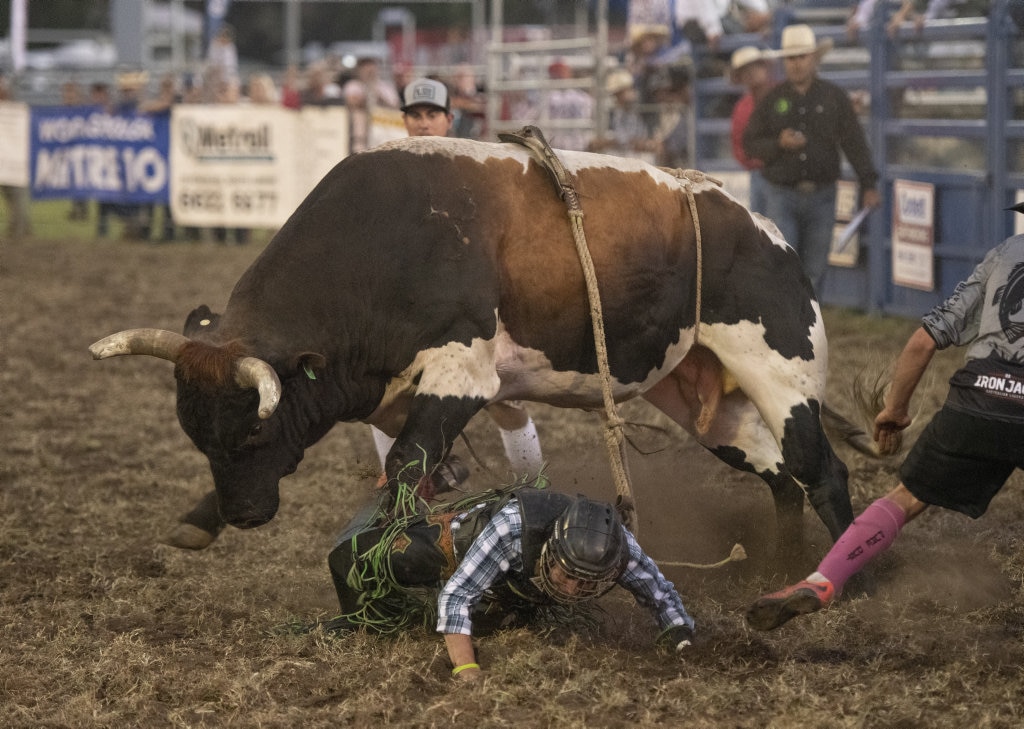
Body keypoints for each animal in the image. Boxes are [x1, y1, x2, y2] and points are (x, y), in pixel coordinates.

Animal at [88, 135, 856, 556]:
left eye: (251, 434)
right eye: (200, 438)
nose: (246, 515)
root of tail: (770, 234)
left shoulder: (460, 376)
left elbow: (404, 465)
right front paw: (198, 519)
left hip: (782, 376)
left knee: (821, 472)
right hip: (705, 396)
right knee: (778, 475)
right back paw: (780, 568)